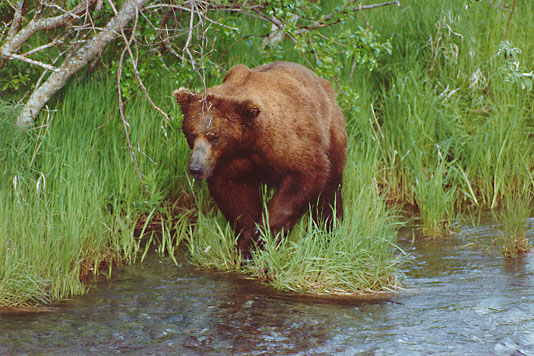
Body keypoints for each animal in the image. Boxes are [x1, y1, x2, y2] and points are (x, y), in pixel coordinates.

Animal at [176, 60, 350, 256]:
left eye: (215, 136)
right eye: (191, 133)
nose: (196, 168)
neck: (250, 143)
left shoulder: (289, 144)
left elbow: (304, 178)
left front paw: (259, 238)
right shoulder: (232, 163)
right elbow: (236, 197)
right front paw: (247, 240)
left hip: (332, 131)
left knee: (330, 190)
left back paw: (328, 231)